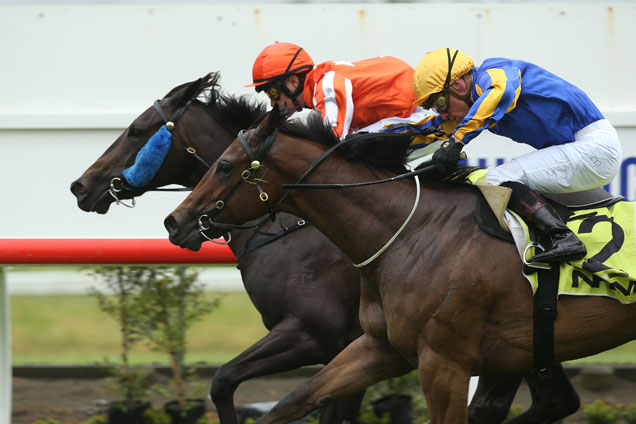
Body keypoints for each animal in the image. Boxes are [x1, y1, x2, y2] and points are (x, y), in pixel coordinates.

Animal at [72, 74, 580, 422]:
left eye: (137, 131)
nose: (81, 186)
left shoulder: (312, 335)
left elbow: (224, 380)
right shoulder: (351, 347)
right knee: (556, 400)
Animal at [164, 107, 632, 424]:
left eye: (225, 167)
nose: (175, 222)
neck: (411, 232)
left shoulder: (443, 362)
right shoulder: (378, 347)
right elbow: (295, 401)